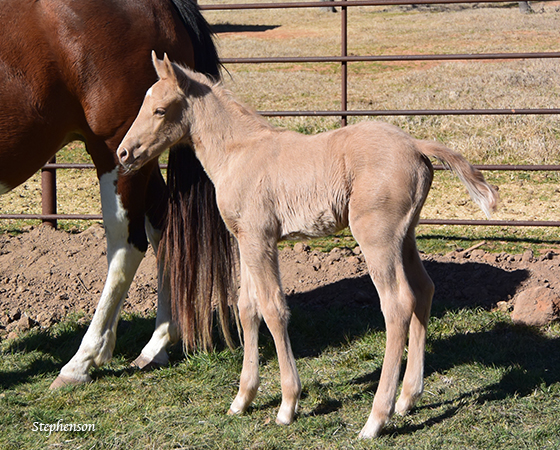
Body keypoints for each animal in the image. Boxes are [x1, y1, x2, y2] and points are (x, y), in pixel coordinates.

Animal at [119, 51, 498, 436]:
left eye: (160, 110)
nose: (123, 153)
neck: (238, 153)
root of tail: (416, 145)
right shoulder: (245, 239)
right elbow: (247, 308)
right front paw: (243, 399)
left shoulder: (260, 238)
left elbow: (273, 309)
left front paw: (288, 404)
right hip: (404, 235)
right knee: (424, 290)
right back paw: (407, 399)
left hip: (377, 236)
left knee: (397, 304)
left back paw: (376, 418)